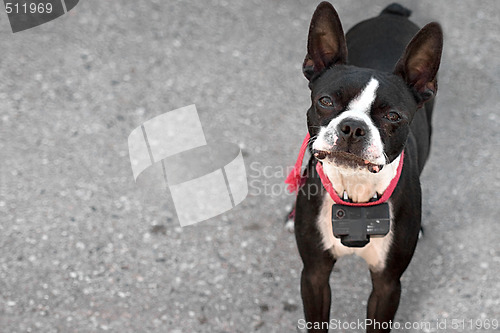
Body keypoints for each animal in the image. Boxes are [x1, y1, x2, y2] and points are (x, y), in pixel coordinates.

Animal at [292, 1, 444, 330]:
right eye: (325, 101)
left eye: (393, 116)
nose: (353, 127)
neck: (355, 189)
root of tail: (391, 14)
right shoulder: (314, 275)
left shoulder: (387, 285)